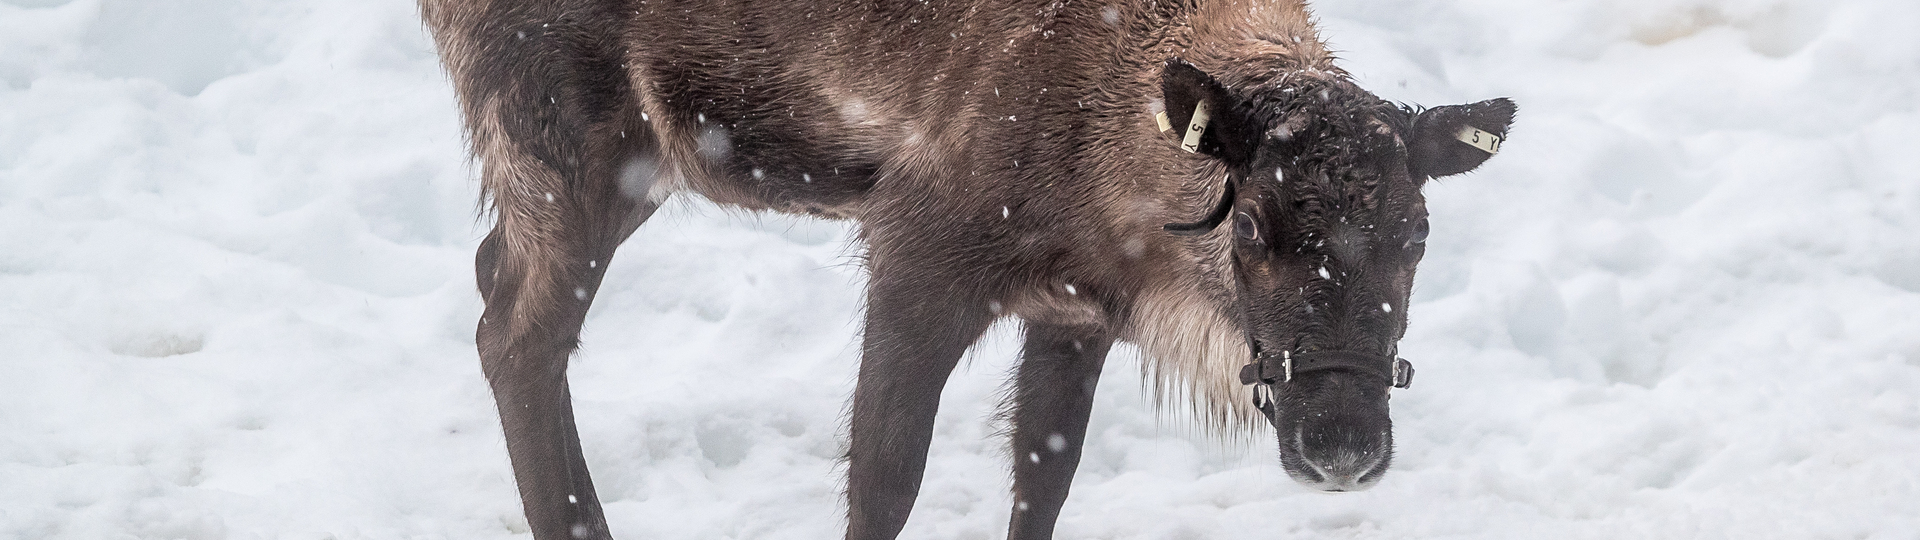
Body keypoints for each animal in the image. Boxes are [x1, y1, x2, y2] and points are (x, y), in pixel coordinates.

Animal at [420, 0, 1515, 538]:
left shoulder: (1074, 313)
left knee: (492, 285)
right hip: (564, 143)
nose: (1343, 447)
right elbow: (884, 476)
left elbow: (1044, 473)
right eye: (1249, 224)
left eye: (1418, 232)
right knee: (517, 332)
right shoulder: (918, 257)